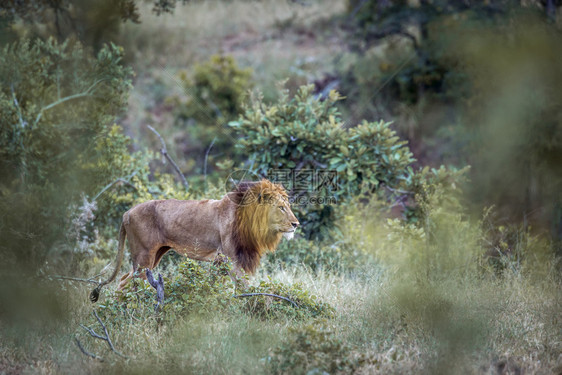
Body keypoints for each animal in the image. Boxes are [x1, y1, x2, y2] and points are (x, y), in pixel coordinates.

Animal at [88, 179, 298, 302]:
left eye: (288, 206)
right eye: (281, 207)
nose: (296, 224)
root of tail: (127, 213)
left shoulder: (220, 261)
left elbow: (214, 286)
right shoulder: (232, 259)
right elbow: (244, 287)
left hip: (153, 256)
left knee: (124, 279)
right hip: (143, 257)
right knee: (128, 283)